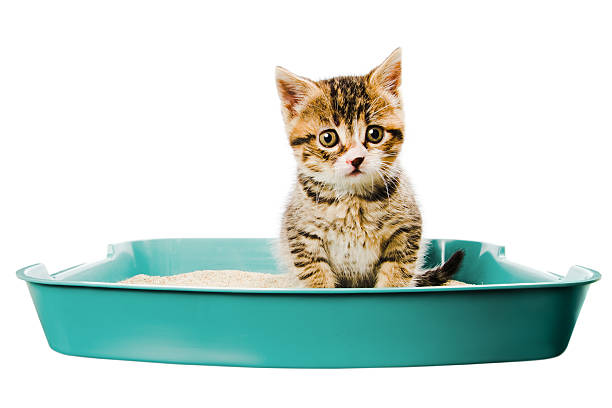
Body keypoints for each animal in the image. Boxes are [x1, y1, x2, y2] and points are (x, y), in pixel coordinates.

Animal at [274, 48, 462, 290]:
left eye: (374, 134)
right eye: (328, 138)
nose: (356, 159)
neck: (352, 200)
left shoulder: (406, 231)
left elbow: (396, 274)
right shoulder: (302, 237)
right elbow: (316, 277)